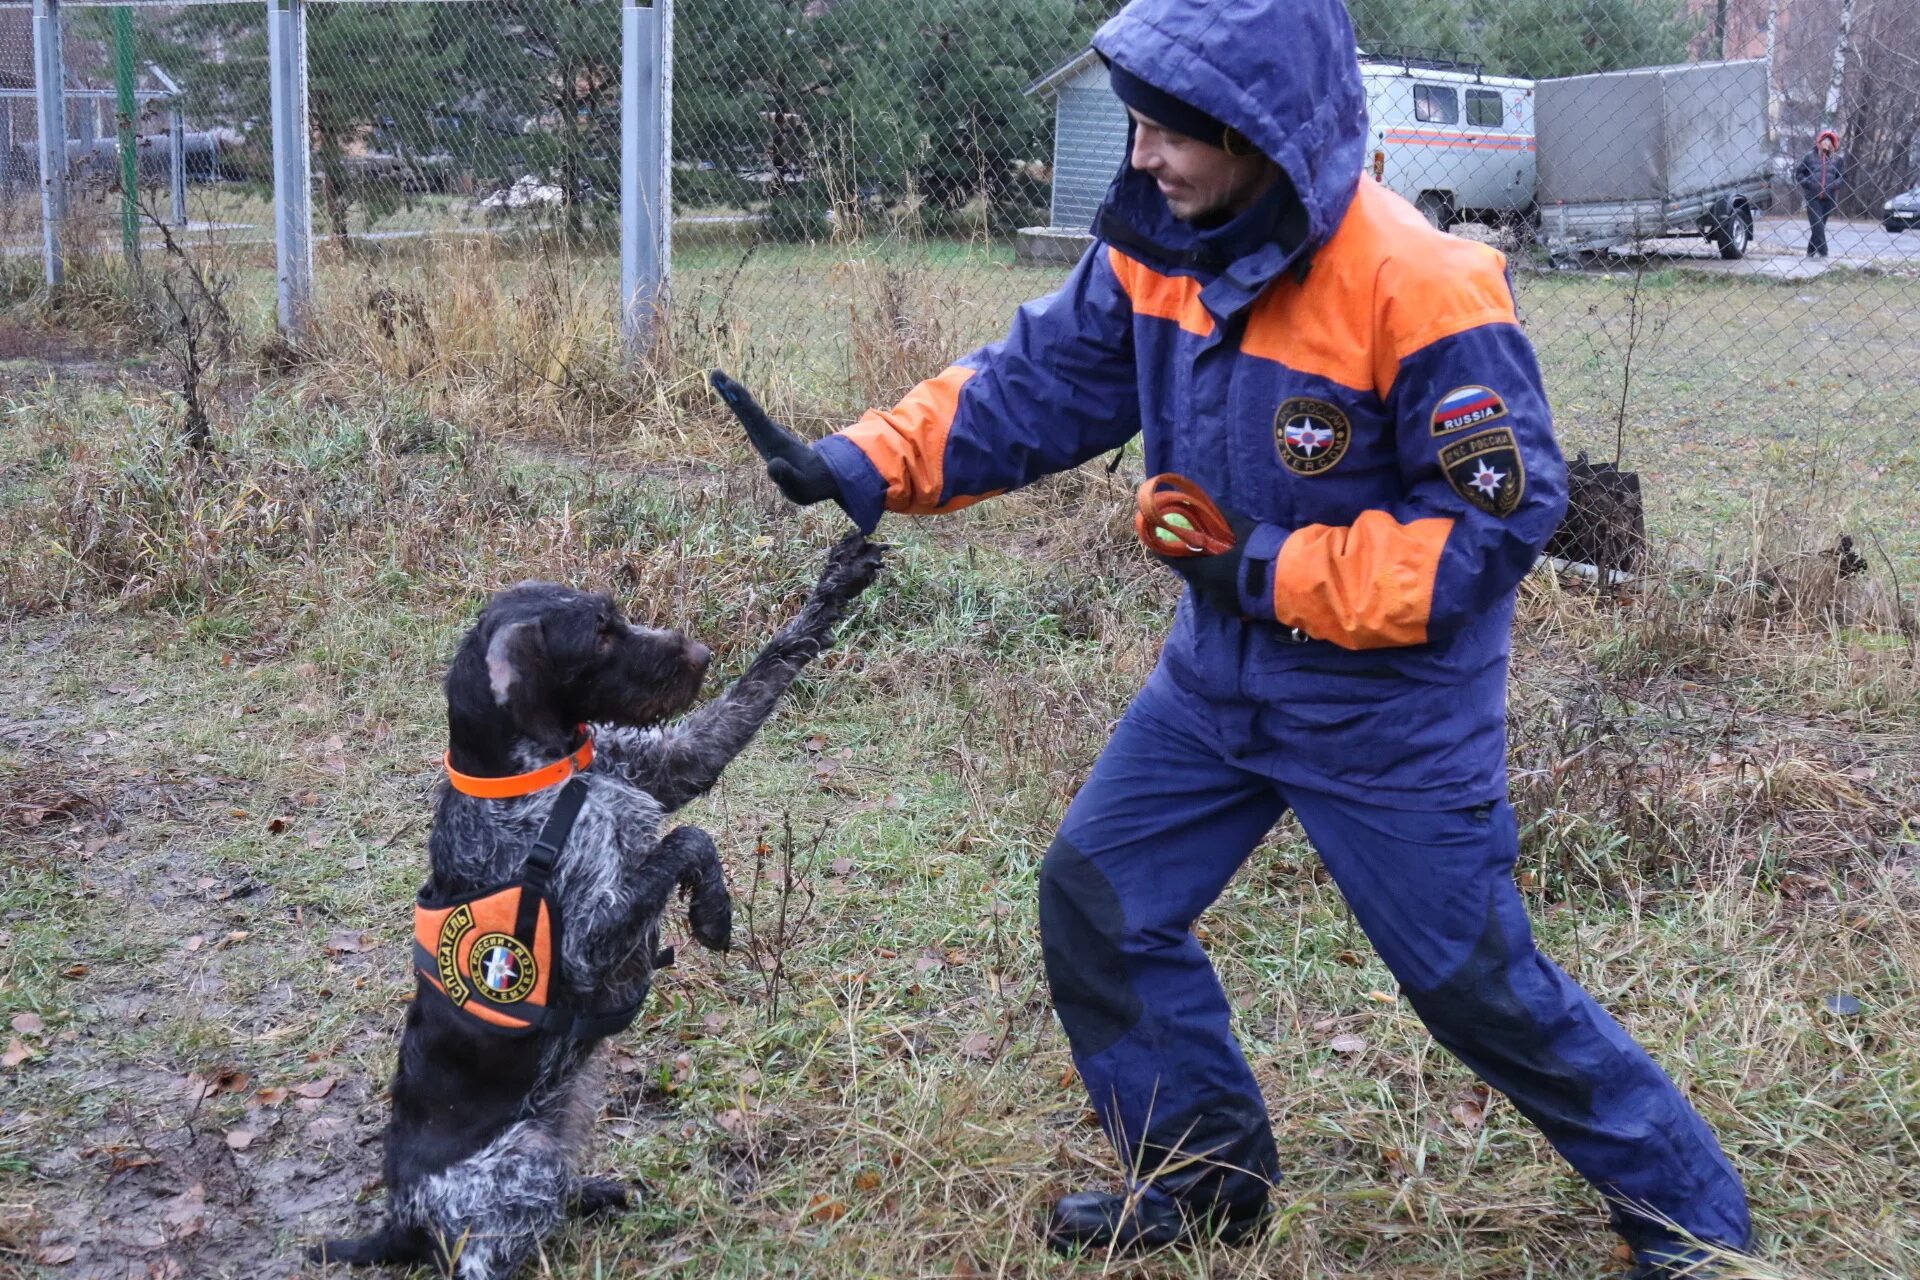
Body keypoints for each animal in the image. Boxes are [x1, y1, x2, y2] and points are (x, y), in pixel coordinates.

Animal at [312, 529, 883, 1280]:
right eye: (602, 634)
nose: (701, 654)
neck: (546, 774)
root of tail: (398, 1221)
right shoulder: (586, 943)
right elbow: (686, 840)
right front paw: (714, 911)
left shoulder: (672, 762)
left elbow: (772, 665)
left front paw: (839, 578)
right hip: (514, 1172)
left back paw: (596, 1193)